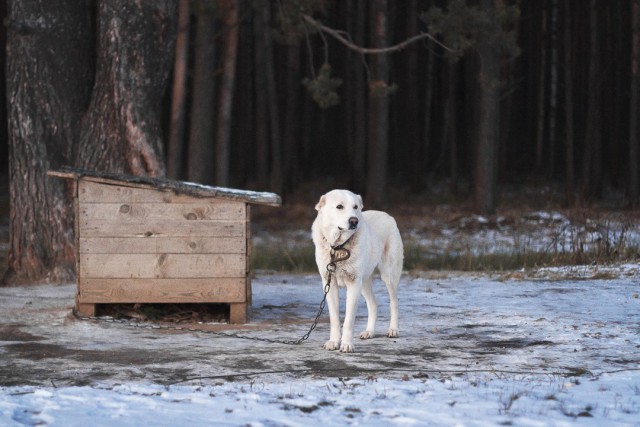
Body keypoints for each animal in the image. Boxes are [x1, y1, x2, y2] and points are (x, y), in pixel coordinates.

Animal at [308, 191, 400, 354]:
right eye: (339, 206)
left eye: (355, 207)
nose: (354, 221)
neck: (338, 247)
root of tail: (388, 215)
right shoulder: (330, 284)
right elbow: (334, 319)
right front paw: (334, 342)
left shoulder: (353, 284)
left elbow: (348, 320)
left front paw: (346, 345)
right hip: (363, 283)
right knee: (373, 304)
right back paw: (369, 332)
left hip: (388, 276)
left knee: (394, 303)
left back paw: (393, 329)